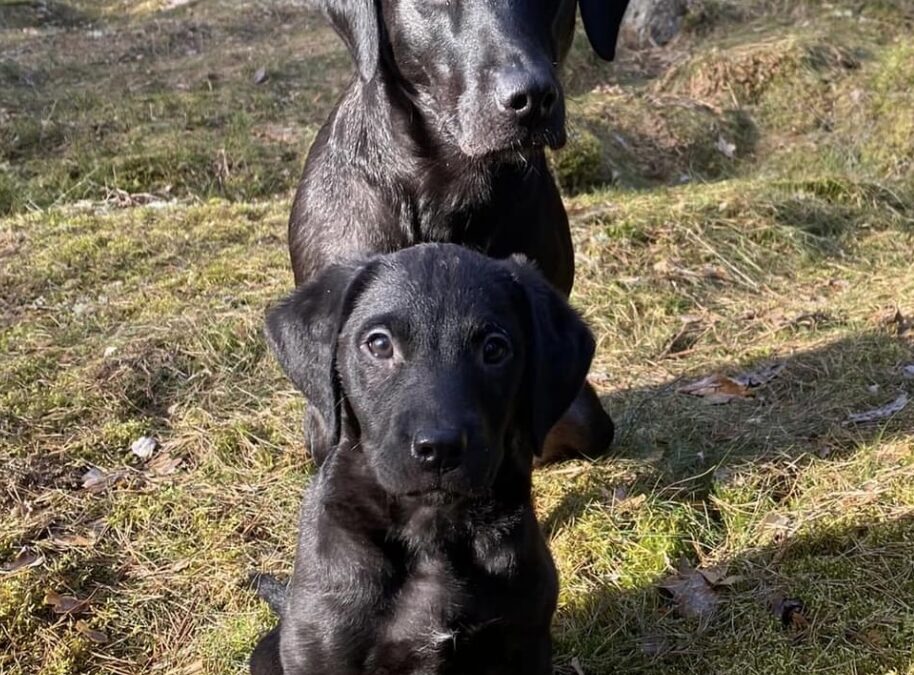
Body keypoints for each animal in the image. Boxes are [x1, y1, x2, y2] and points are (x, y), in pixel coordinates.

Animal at [253, 246, 600, 675]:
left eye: (495, 349)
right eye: (379, 344)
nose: (440, 448)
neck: (431, 533)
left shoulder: (526, 639)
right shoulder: (323, 655)